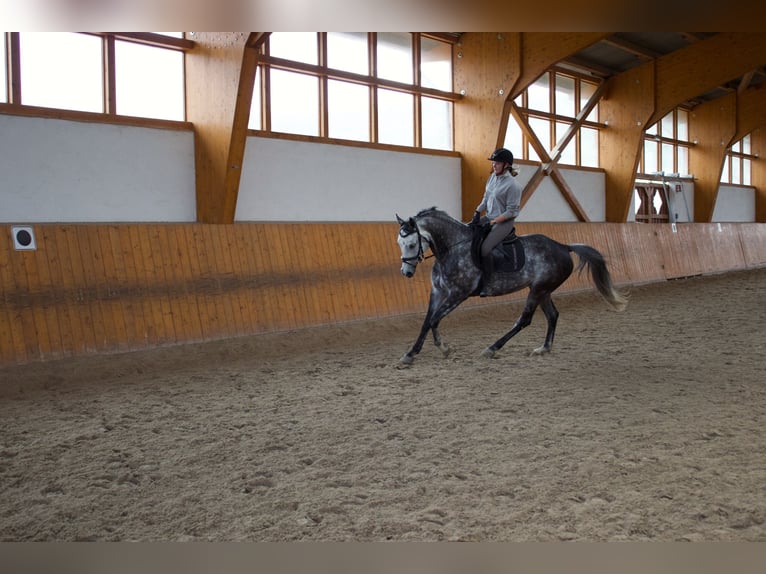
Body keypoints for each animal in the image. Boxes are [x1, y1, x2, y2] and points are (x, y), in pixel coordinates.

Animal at [396, 209, 632, 366]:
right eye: (400, 243)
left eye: (411, 244)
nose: (406, 273)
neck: (451, 249)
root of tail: (563, 246)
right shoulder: (438, 292)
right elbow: (428, 321)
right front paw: (418, 352)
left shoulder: (458, 294)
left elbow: (434, 320)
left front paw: (434, 350)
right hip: (543, 290)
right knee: (553, 315)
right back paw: (543, 349)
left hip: (538, 289)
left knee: (524, 320)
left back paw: (491, 349)